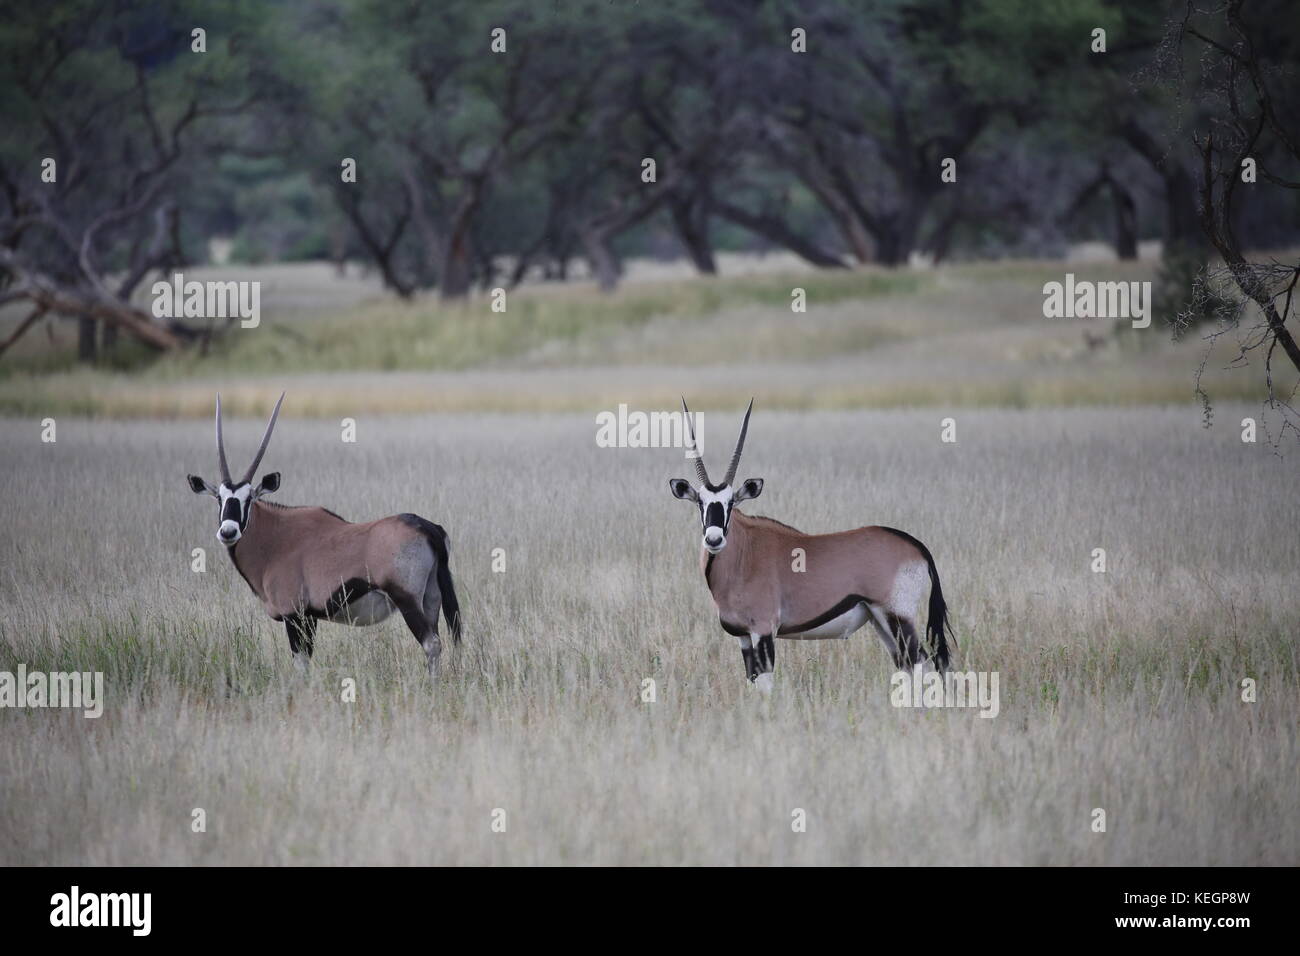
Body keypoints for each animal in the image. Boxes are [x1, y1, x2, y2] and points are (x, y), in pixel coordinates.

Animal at [185, 392, 462, 676]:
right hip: (432, 598)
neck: (275, 539)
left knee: (431, 643)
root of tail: (428, 528)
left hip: (407, 599)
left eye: (249, 498)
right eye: (219, 498)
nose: (228, 531)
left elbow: (301, 664)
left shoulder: (295, 615)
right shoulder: (309, 617)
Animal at [670, 400, 956, 691]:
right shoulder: (743, 637)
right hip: (881, 621)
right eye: (700, 502)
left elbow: (765, 687)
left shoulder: (764, 631)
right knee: (907, 665)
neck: (744, 554)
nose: (714, 539)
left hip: (897, 616)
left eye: (731, 503)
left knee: (923, 664)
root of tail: (916, 546)